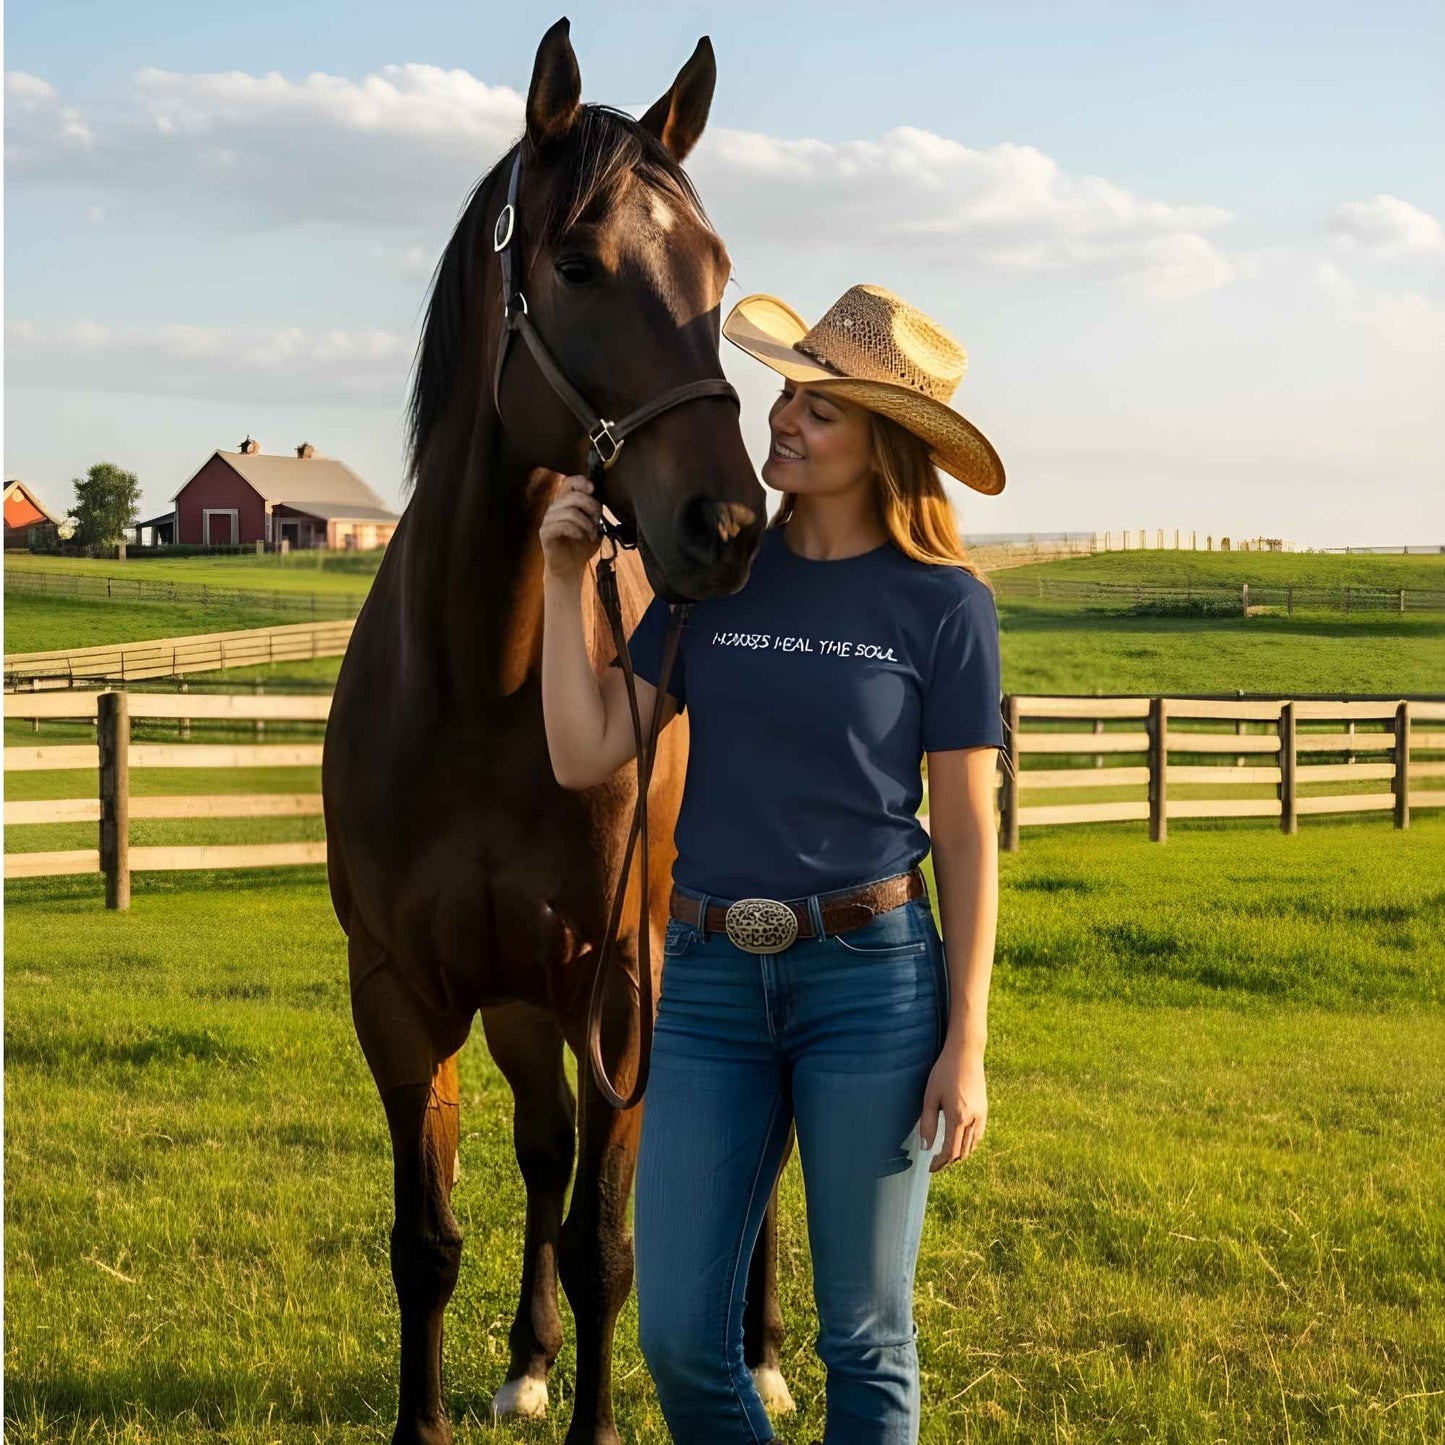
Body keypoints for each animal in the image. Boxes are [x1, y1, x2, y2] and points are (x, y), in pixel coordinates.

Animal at [323, 19, 796, 1444]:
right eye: (576, 263)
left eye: (718, 270)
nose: (727, 527)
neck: (483, 694)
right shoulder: (403, 994)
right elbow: (428, 1238)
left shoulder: (622, 989)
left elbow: (608, 1245)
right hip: (522, 1001)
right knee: (542, 1150)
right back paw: (526, 1360)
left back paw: (761, 1353)